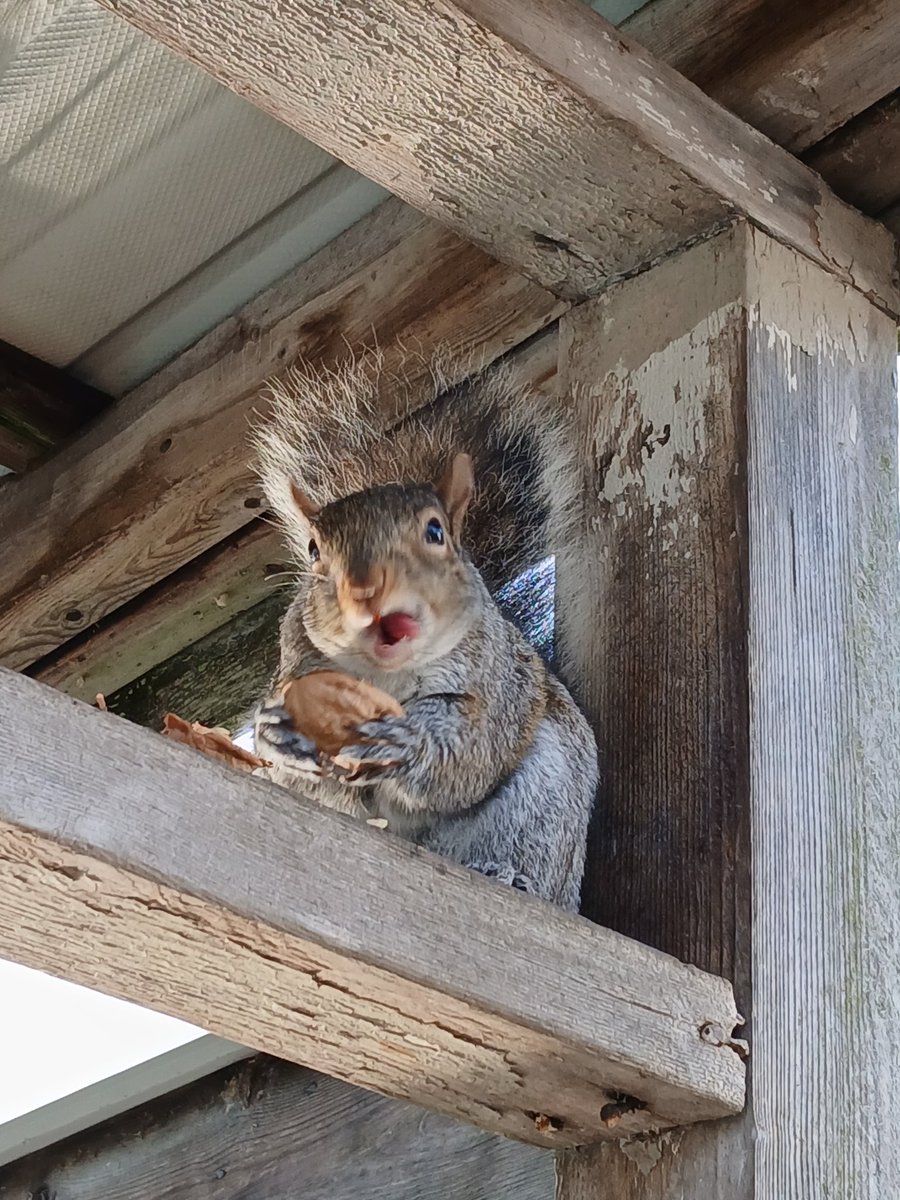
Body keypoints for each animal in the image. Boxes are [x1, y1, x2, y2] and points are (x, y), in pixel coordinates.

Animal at [251, 349, 598, 913]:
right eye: (313, 549)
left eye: (436, 531)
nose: (365, 589)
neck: (384, 677)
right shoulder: (295, 663)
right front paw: (278, 735)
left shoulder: (495, 683)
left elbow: (474, 750)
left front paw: (409, 741)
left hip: (544, 810)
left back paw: (507, 876)